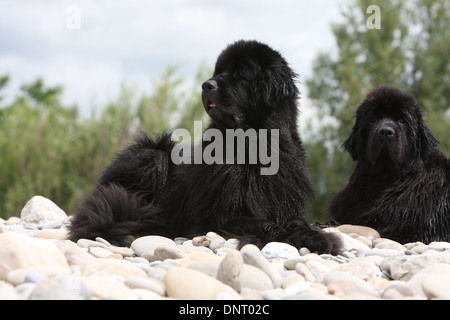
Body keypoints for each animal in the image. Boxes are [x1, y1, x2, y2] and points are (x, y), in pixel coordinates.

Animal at [68, 40, 342, 255]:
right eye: (218, 72)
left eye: (240, 74)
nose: (207, 84)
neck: (252, 143)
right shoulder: (217, 217)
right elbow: (264, 224)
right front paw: (286, 235)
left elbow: (296, 221)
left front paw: (317, 236)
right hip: (153, 155)